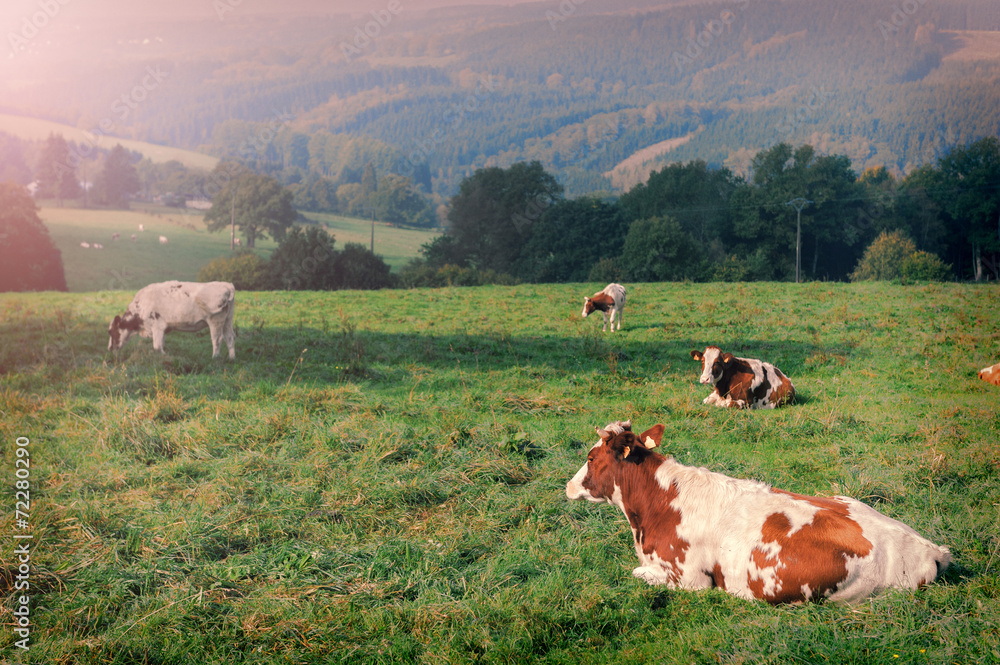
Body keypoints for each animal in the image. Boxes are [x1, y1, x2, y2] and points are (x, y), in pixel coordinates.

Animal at [108, 282, 238, 360]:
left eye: (110, 331)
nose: (109, 349)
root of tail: (227, 285)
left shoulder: (157, 327)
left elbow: (157, 346)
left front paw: (164, 356)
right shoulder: (163, 329)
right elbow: (161, 344)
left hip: (215, 321)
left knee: (217, 339)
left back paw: (214, 357)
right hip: (227, 320)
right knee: (230, 337)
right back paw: (232, 358)